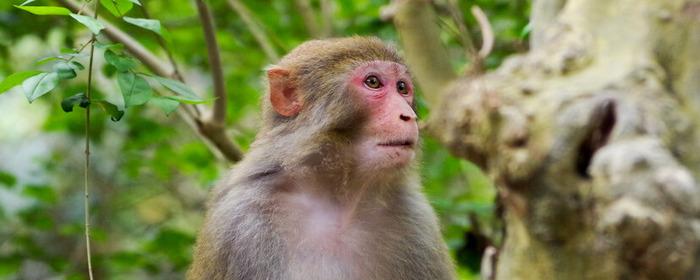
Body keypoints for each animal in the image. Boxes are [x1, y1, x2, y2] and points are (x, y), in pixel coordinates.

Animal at [189, 36, 456, 278]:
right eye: (373, 82)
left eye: (402, 88)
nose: (409, 116)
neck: (336, 198)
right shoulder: (238, 224)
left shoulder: (417, 222)